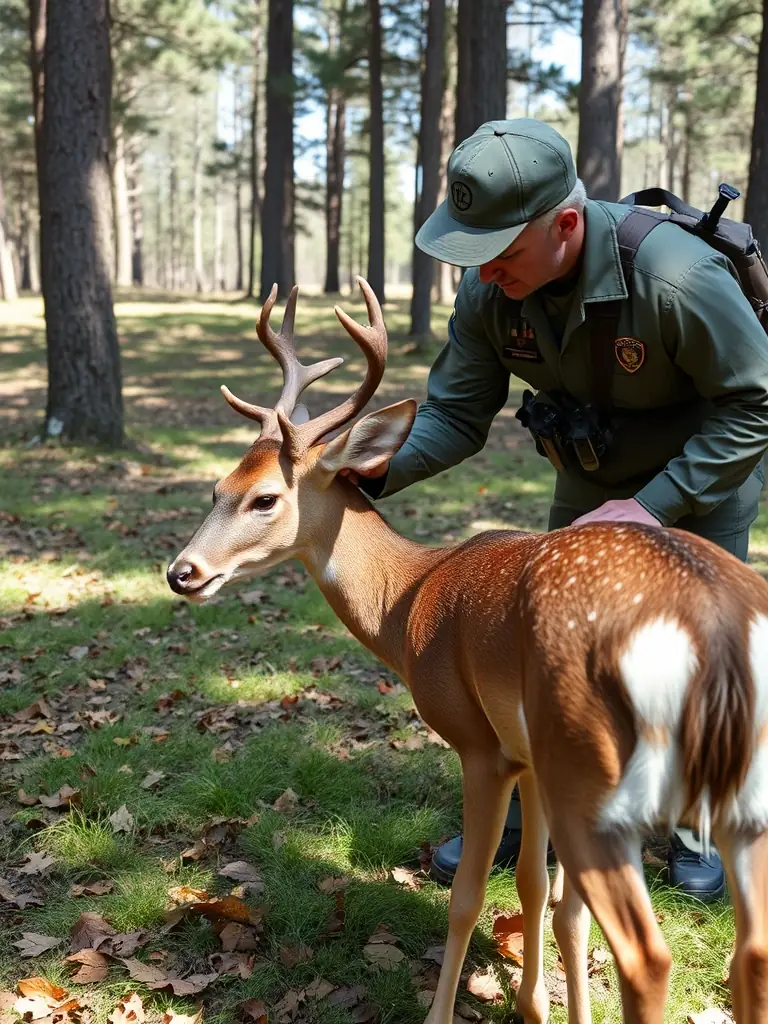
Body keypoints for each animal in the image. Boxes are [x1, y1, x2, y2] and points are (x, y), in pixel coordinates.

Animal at [167, 277, 768, 1024]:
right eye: (216, 488)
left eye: (265, 499)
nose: (181, 572)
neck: (408, 601)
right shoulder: (530, 759)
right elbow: (541, 891)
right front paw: (539, 1006)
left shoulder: (483, 746)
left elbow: (469, 897)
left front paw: (444, 1011)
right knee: (750, 953)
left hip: (596, 773)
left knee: (648, 956)